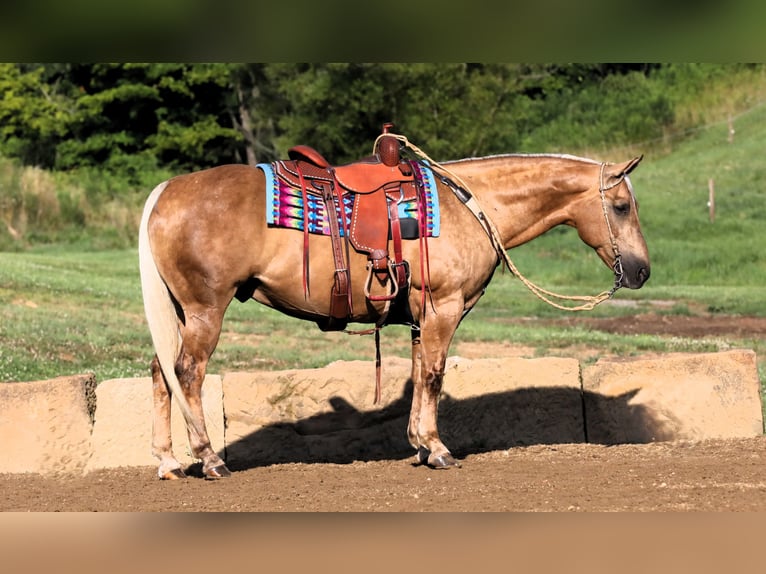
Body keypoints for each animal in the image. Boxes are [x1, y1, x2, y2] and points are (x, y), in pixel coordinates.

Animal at [136, 144, 648, 482]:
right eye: (622, 206)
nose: (641, 270)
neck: (471, 207)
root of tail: (166, 191)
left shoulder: (424, 316)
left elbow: (421, 373)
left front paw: (419, 446)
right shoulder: (444, 306)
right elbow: (435, 375)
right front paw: (437, 449)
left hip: (181, 312)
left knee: (162, 373)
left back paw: (168, 462)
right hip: (206, 310)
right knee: (188, 373)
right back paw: (209, 459)